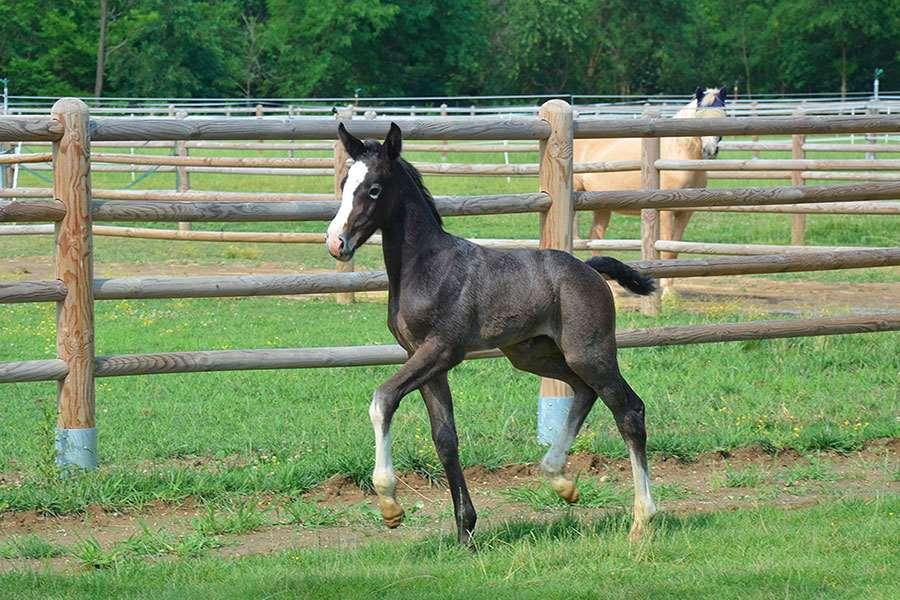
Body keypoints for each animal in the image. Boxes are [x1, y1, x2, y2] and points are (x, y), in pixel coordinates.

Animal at [326, 120, 656, 544]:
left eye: (374, 189)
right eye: (344, 183)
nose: (336, 243)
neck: (428, 267)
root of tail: (589, 269)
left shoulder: (441, 350)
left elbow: (383, 399)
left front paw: (390, 505)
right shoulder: (423, 358)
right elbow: (445, 437)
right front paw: (465, 529)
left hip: (589, 352)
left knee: (628, 409)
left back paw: (642, 519)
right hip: (533, 354)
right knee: (584, 392)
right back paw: (561, 481)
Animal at [576, 86, 732, 288]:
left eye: (725, 114)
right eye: (699, 116)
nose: (710, 150)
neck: (678, 156)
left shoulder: (686, 212)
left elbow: (674, 250)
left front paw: (670, 290)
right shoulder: (665, 212)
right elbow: (666, 250)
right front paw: (665, 289)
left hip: (602, 206)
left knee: (596, 237)